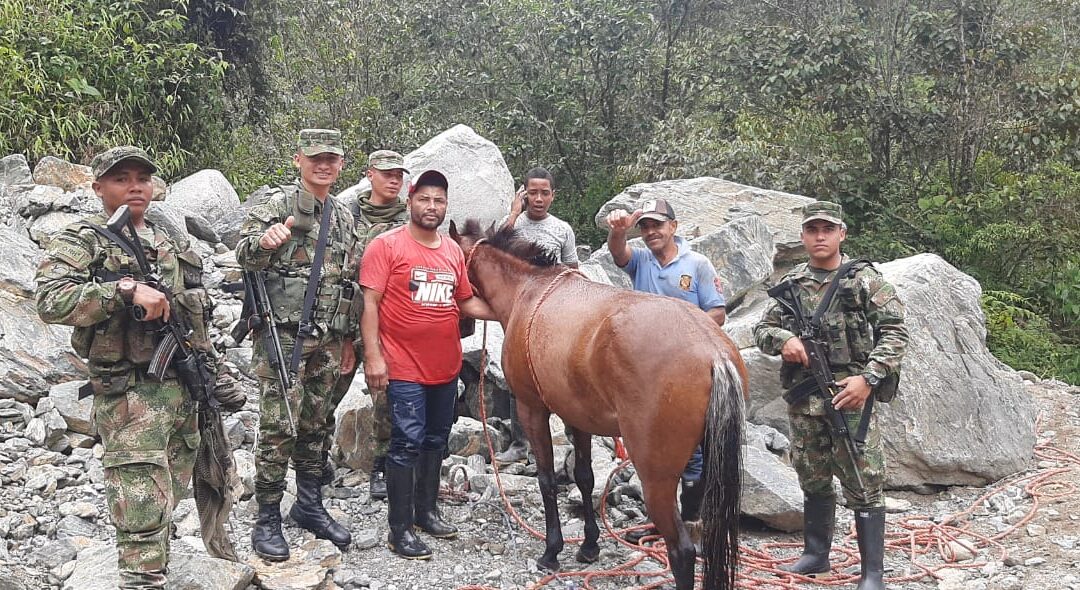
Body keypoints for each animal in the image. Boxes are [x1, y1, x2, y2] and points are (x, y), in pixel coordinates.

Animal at [451, 218, 747, 583]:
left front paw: (552, 551)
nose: (462, 327)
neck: (528, 289)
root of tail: (713, 352)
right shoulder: (577, 417)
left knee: (682, 550)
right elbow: (584, 477)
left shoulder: (532, 409)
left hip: (656, 478)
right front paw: (589, 545)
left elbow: (547, 479)